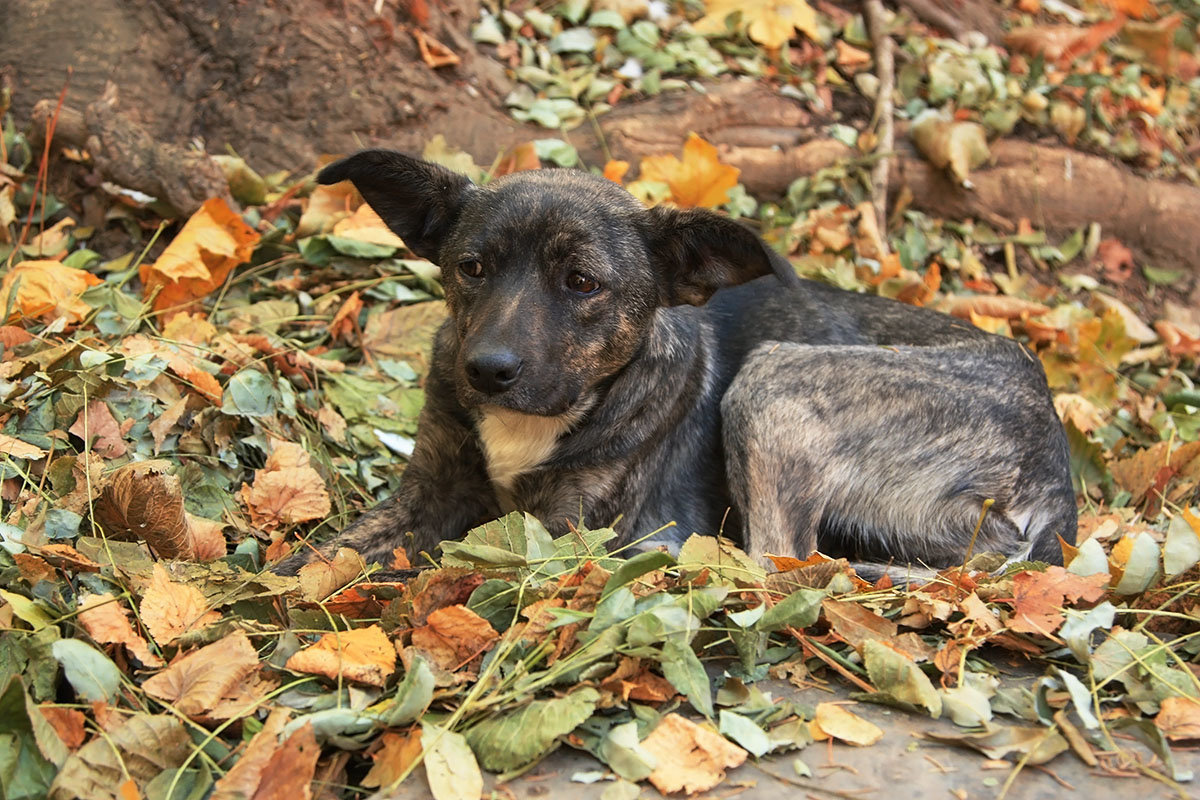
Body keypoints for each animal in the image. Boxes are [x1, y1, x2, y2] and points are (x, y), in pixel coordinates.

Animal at [274, 148, 1080, 575]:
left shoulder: (568, 535)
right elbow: (323, 559)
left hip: (775, 382)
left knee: (780, 566)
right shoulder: (425, 494)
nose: (487, 370)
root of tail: (1059, 489)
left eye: (582, 283)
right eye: (471, 267)